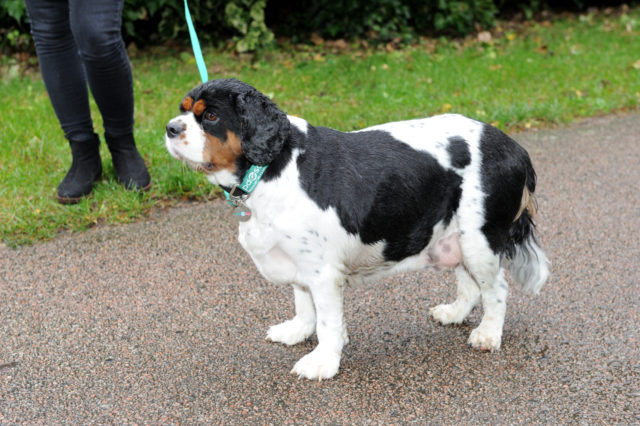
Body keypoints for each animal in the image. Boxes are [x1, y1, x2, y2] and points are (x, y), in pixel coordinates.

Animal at [165, 79, 552, 380]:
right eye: (183, 110)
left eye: (210, 116)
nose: (170, 128)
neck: (273, 166)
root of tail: (516, 148)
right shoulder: (300, 261)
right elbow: (303, 303)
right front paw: (297, 332)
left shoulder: (323, 271)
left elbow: (327, 321)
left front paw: (322, 362)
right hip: (453, 234)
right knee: (469, 283)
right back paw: (454, 313)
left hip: (479, 238)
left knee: (496, 288)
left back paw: (488, 334)